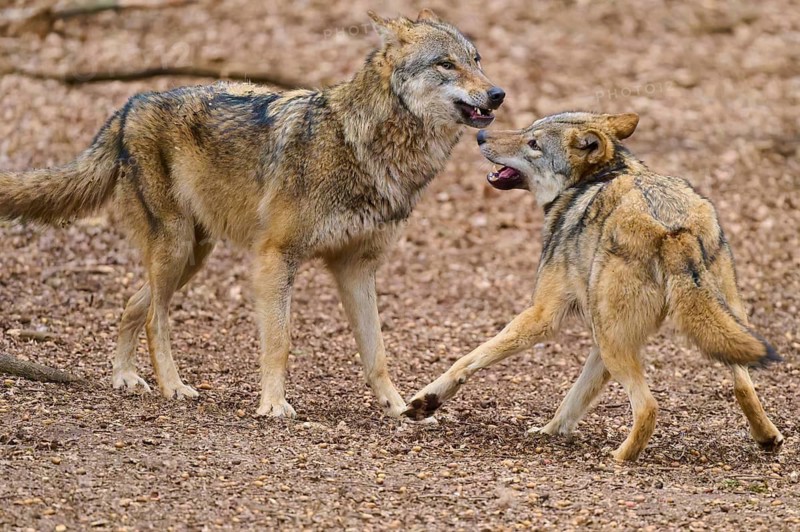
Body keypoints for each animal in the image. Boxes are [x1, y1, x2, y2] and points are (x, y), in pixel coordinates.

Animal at [0, 9, 505, 418]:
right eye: (446, 64)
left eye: (477, 59)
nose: (498, 94)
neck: (363, 145)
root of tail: (127, 107)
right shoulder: (276, 257)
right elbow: (279, 342)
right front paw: (273, 404)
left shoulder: (356, 267)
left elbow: (376, 352)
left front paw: (401, 407)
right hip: (176, 248)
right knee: (153, 318)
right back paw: (173, 386)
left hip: (192, 255)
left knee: (132, 303)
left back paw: (124, 376)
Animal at [403, 112, 784, 460]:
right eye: (528, 128)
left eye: (534, 144)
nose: (481, 135)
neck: (592, 181)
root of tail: (674, 228)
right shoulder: (600, 343)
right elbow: (574, 398)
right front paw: (549, 432)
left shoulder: (542, 317)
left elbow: (470, 358)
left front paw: (425, 402)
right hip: (710, 329)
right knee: (743, 385)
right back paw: (767, 438)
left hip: (614, 341)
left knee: (648, 407)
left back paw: (618, 459)